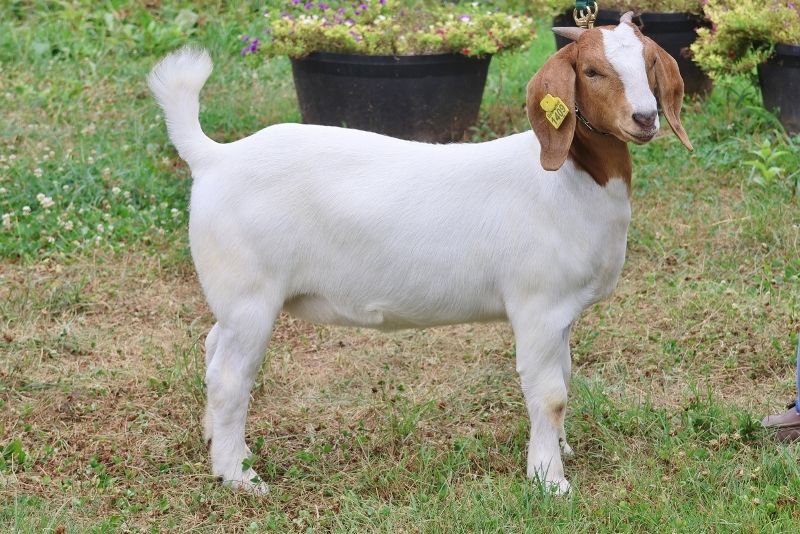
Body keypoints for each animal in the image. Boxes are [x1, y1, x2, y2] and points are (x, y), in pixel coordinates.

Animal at [148, 12, 693, 495]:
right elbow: (550, 394)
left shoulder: (561, 314)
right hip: (250, 293)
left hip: (237, 296)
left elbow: (563, 377)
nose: (645, 118)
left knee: (213, 348)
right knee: (229, 377)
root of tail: (215, 156)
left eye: (648, 61)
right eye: (593, 70)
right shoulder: (537, 306)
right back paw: (239, 477)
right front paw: (549, 481)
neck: (567, 180)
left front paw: (561, 451)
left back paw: (221, 445)